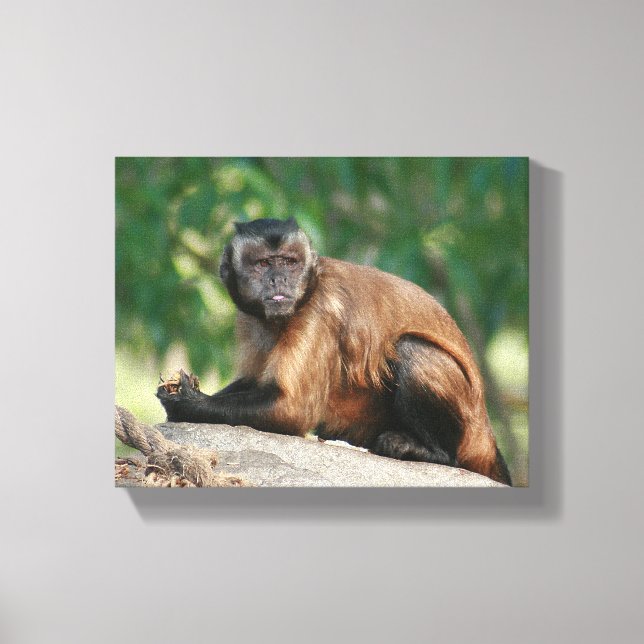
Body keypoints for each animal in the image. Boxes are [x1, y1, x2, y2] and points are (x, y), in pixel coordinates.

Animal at [156, 217, 512, 485]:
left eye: (289, 263)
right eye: (264, 264)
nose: (278, 279)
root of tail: (487, 436)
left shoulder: (319, 310)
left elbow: (292, 410)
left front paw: (188, 403)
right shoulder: (249, 318)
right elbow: (258, 382)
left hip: (468, 433)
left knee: (410, 348)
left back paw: (433, 453)